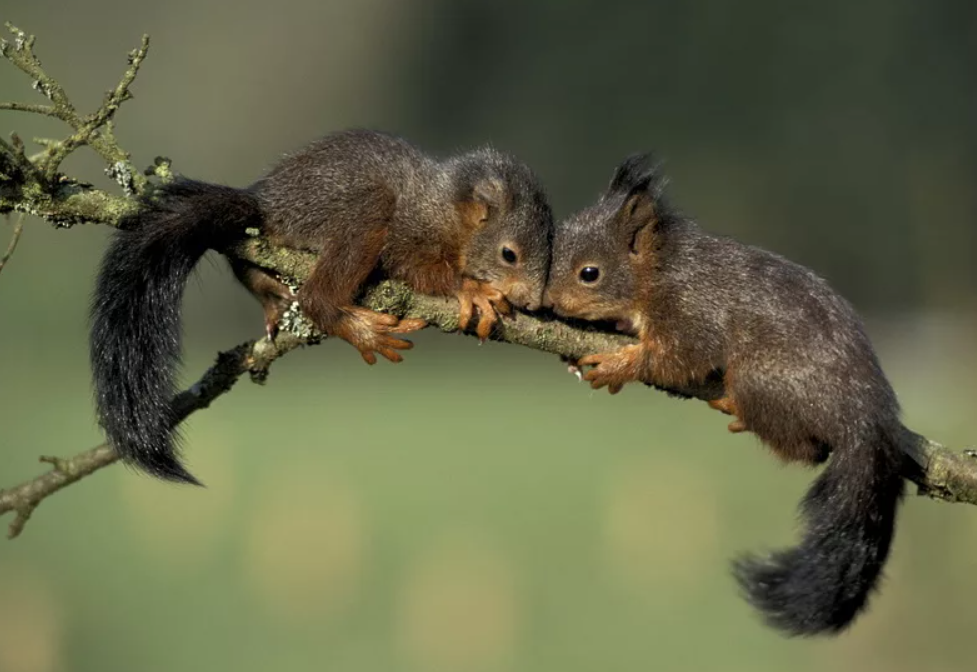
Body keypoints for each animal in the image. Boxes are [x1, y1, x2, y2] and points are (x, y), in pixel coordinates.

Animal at [90, 127, 552, 484]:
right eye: (509, 254)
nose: (533, 300)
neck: (448, 211)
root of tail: (269, 205)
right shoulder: (411, 230)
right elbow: (415, 268)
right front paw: (471, 289)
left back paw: (271, 294)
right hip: (361, 212)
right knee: (316, 297)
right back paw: (356, 328)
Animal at [540, 155, 908, 636]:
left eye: (589, 273)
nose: (546, 302)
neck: (660, 270)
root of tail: (866, 418)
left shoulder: (691, 310)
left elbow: (679, 358)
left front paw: (620, 364)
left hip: (760, 379)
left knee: (808, 450)